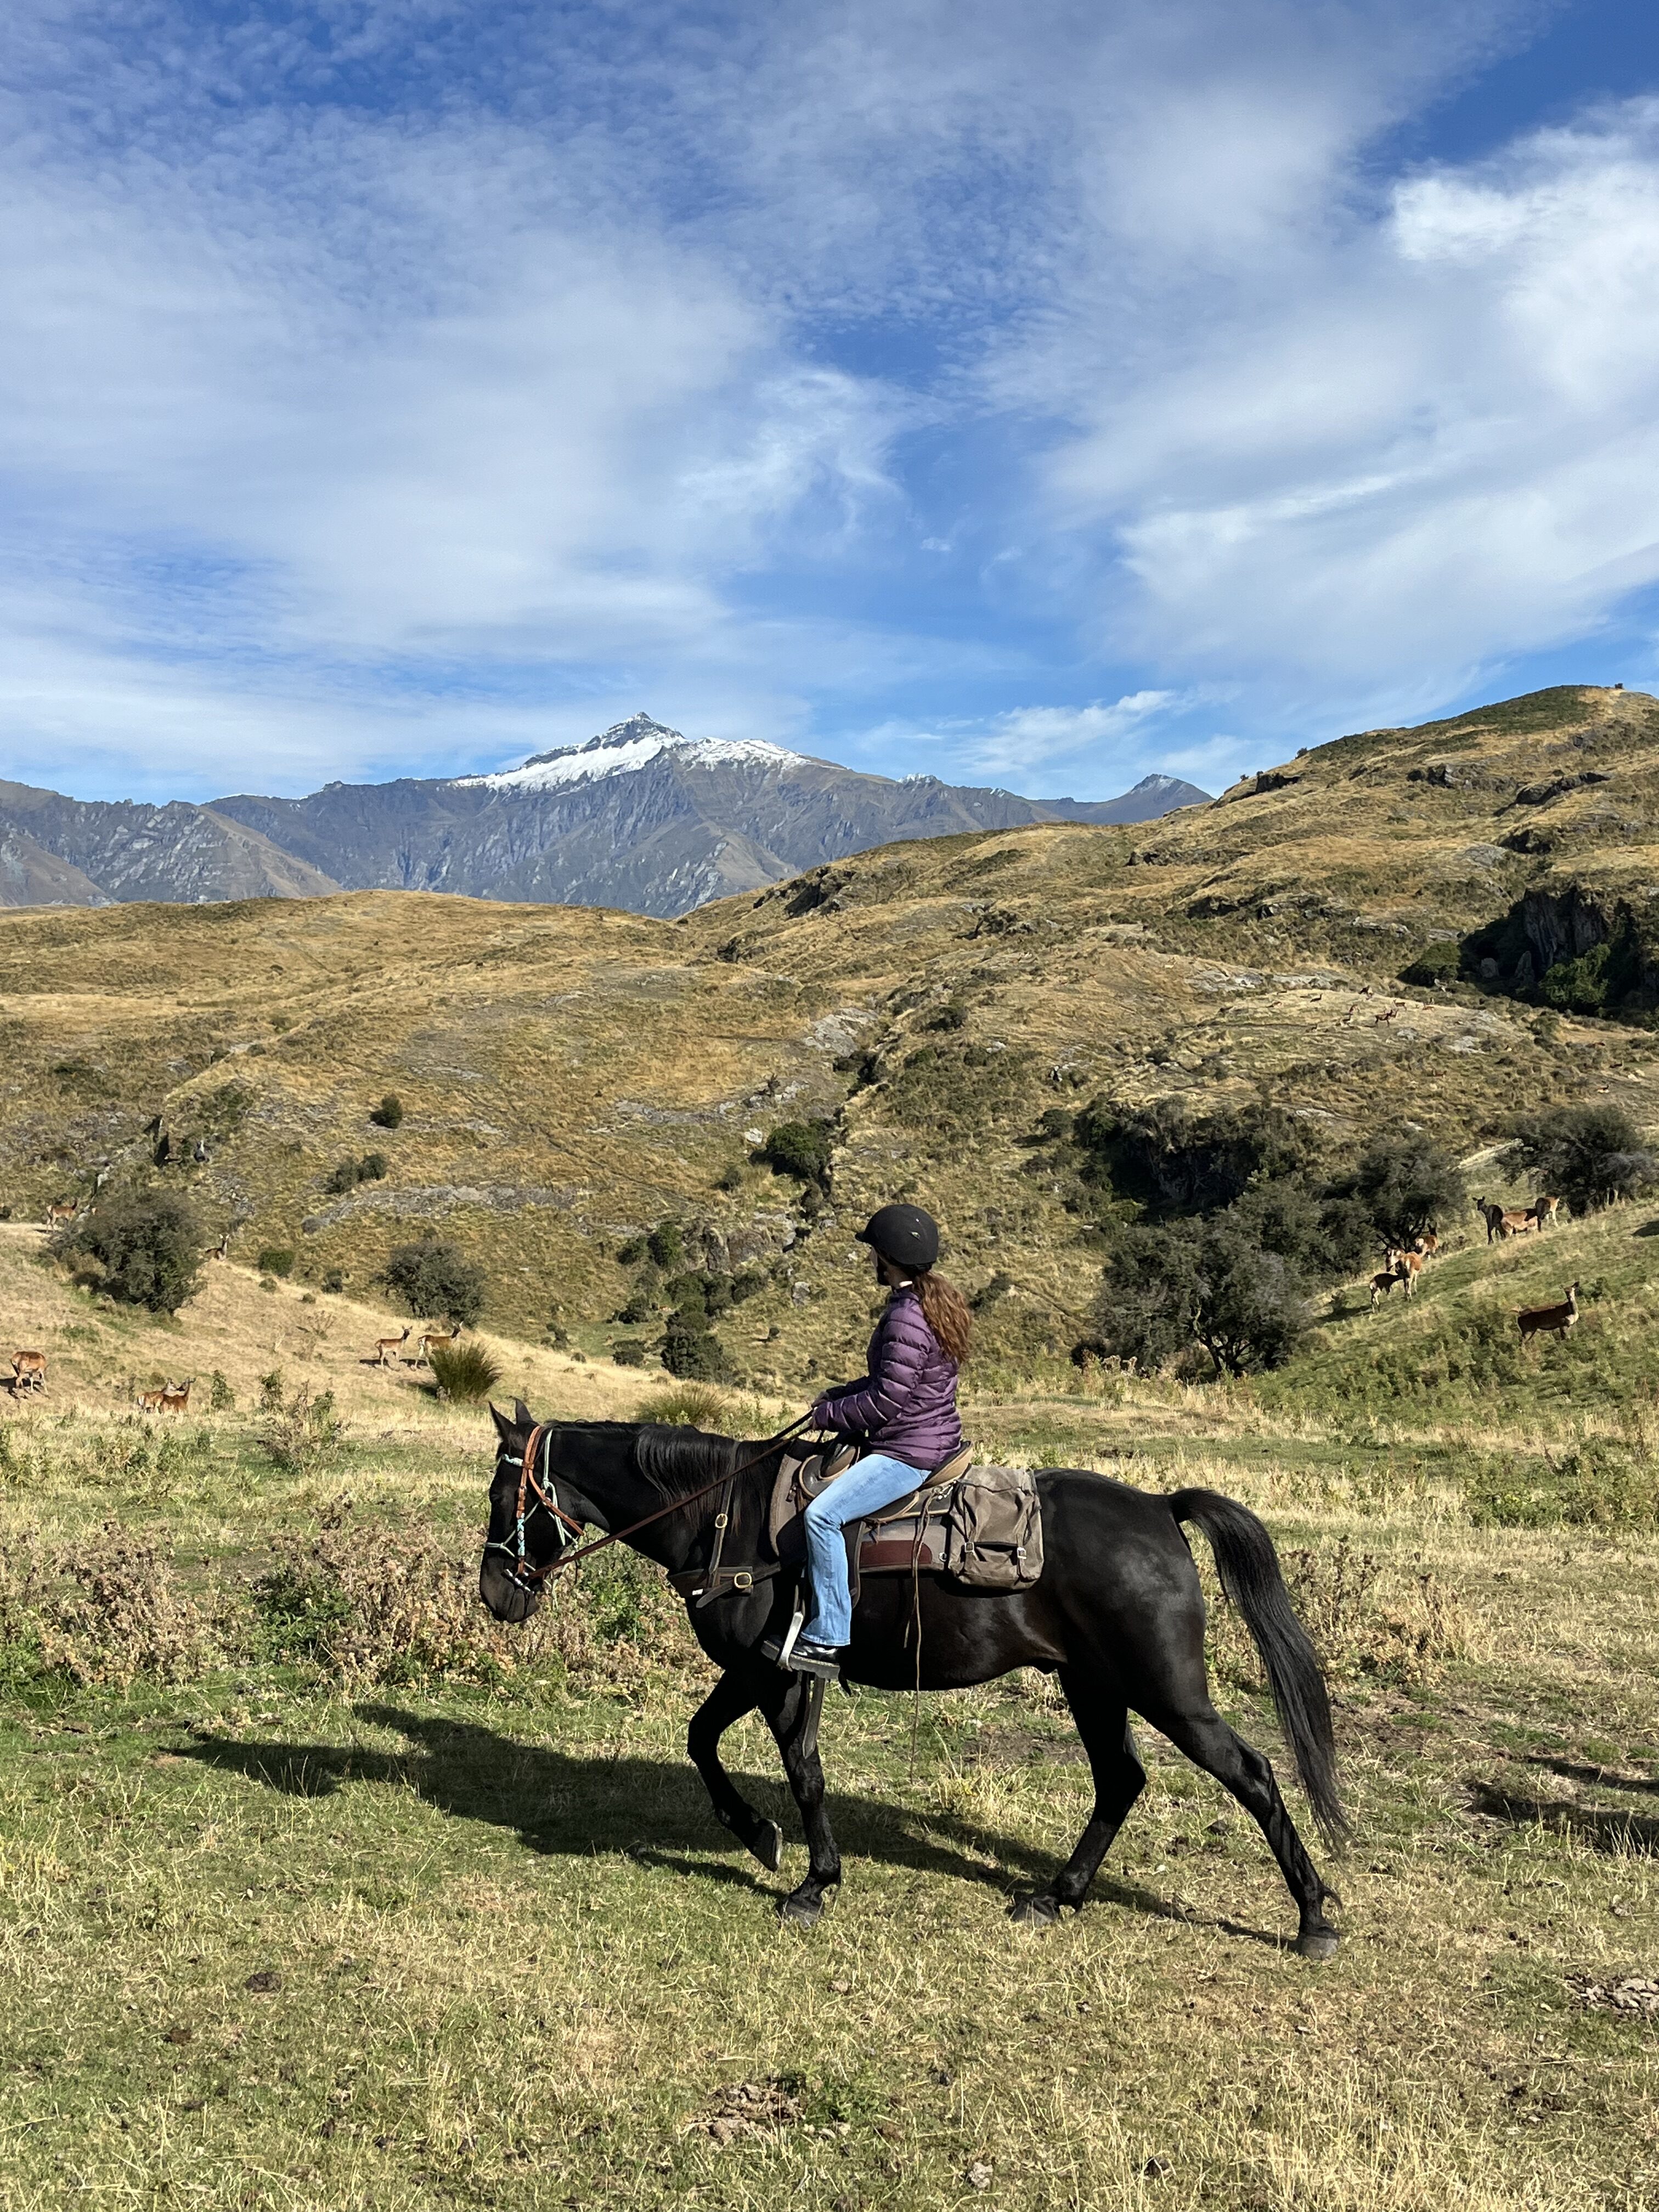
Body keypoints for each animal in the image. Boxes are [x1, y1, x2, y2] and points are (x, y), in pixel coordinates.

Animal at [477, 1405, 1347, 1959]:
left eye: (499, 1493)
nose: (495, 1593)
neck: (725, 1515)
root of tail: (1161, 1509)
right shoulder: (772, 1670)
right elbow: (728, 1747)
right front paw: (765, 1840)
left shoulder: (767, 1667)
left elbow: (780, 1766)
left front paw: (804, 1875)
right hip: (1093, 1685)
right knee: (1120, 1780)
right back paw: (1057, 1895)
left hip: (1166, 1690)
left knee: (1252, 1774)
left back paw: (1313, 1919)